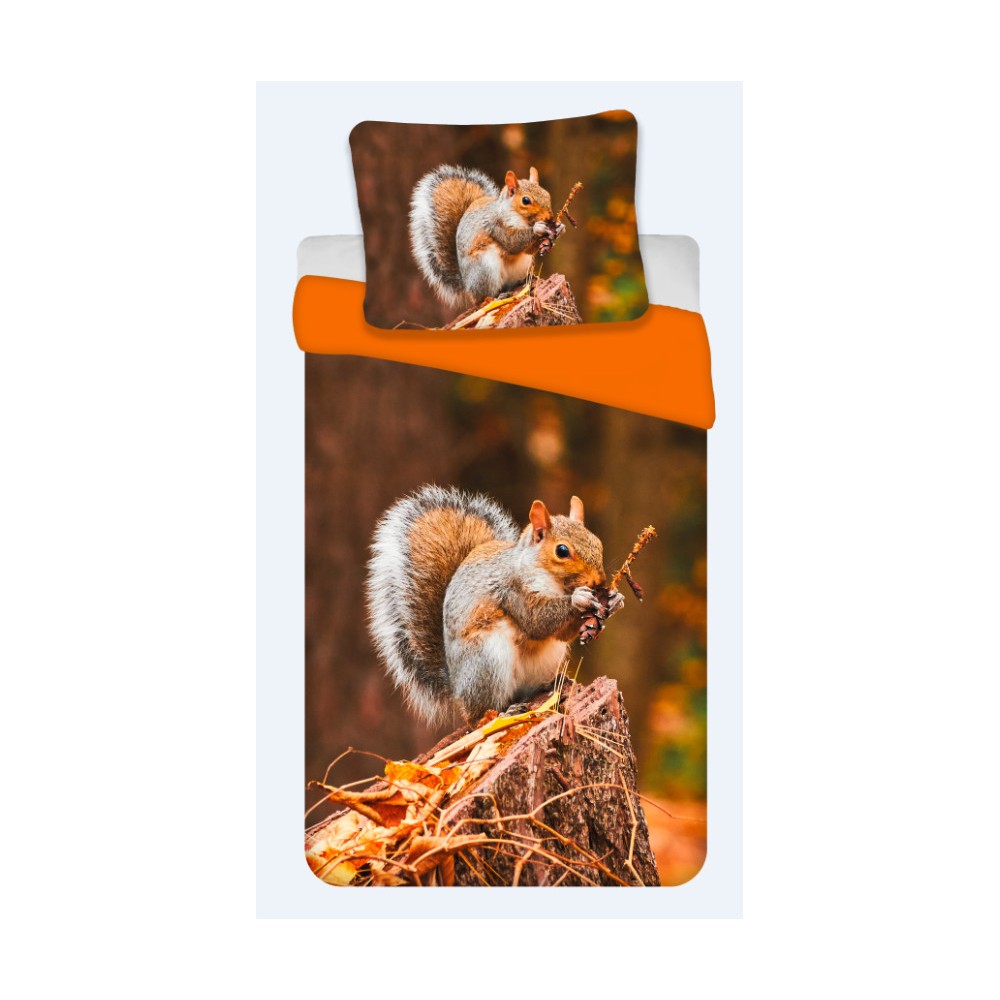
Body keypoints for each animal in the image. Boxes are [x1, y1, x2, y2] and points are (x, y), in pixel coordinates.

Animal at [366, 485, 624, 727]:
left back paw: (550, 685)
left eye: (597, 542)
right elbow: (537, 621)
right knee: (479, 715)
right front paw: (579, 599)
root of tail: (457, 688)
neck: (555, 583)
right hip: (487, 661)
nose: (599, 582)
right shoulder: (512, 591)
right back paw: (501, 713)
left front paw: (614, 600)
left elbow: (560, 633)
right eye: (562, 551)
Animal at [408, 165, 566, 309]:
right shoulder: (496, 225)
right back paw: (497, 296)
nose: (549, 217)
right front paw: (538, 229)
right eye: (526, 200)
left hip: (523, 265)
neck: (519, 218)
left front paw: (559, 228)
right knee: (484, 297)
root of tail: (467, 286)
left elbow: (527, 249)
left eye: (546, 194)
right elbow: (513, 243)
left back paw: (525, 280)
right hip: (485, 269)